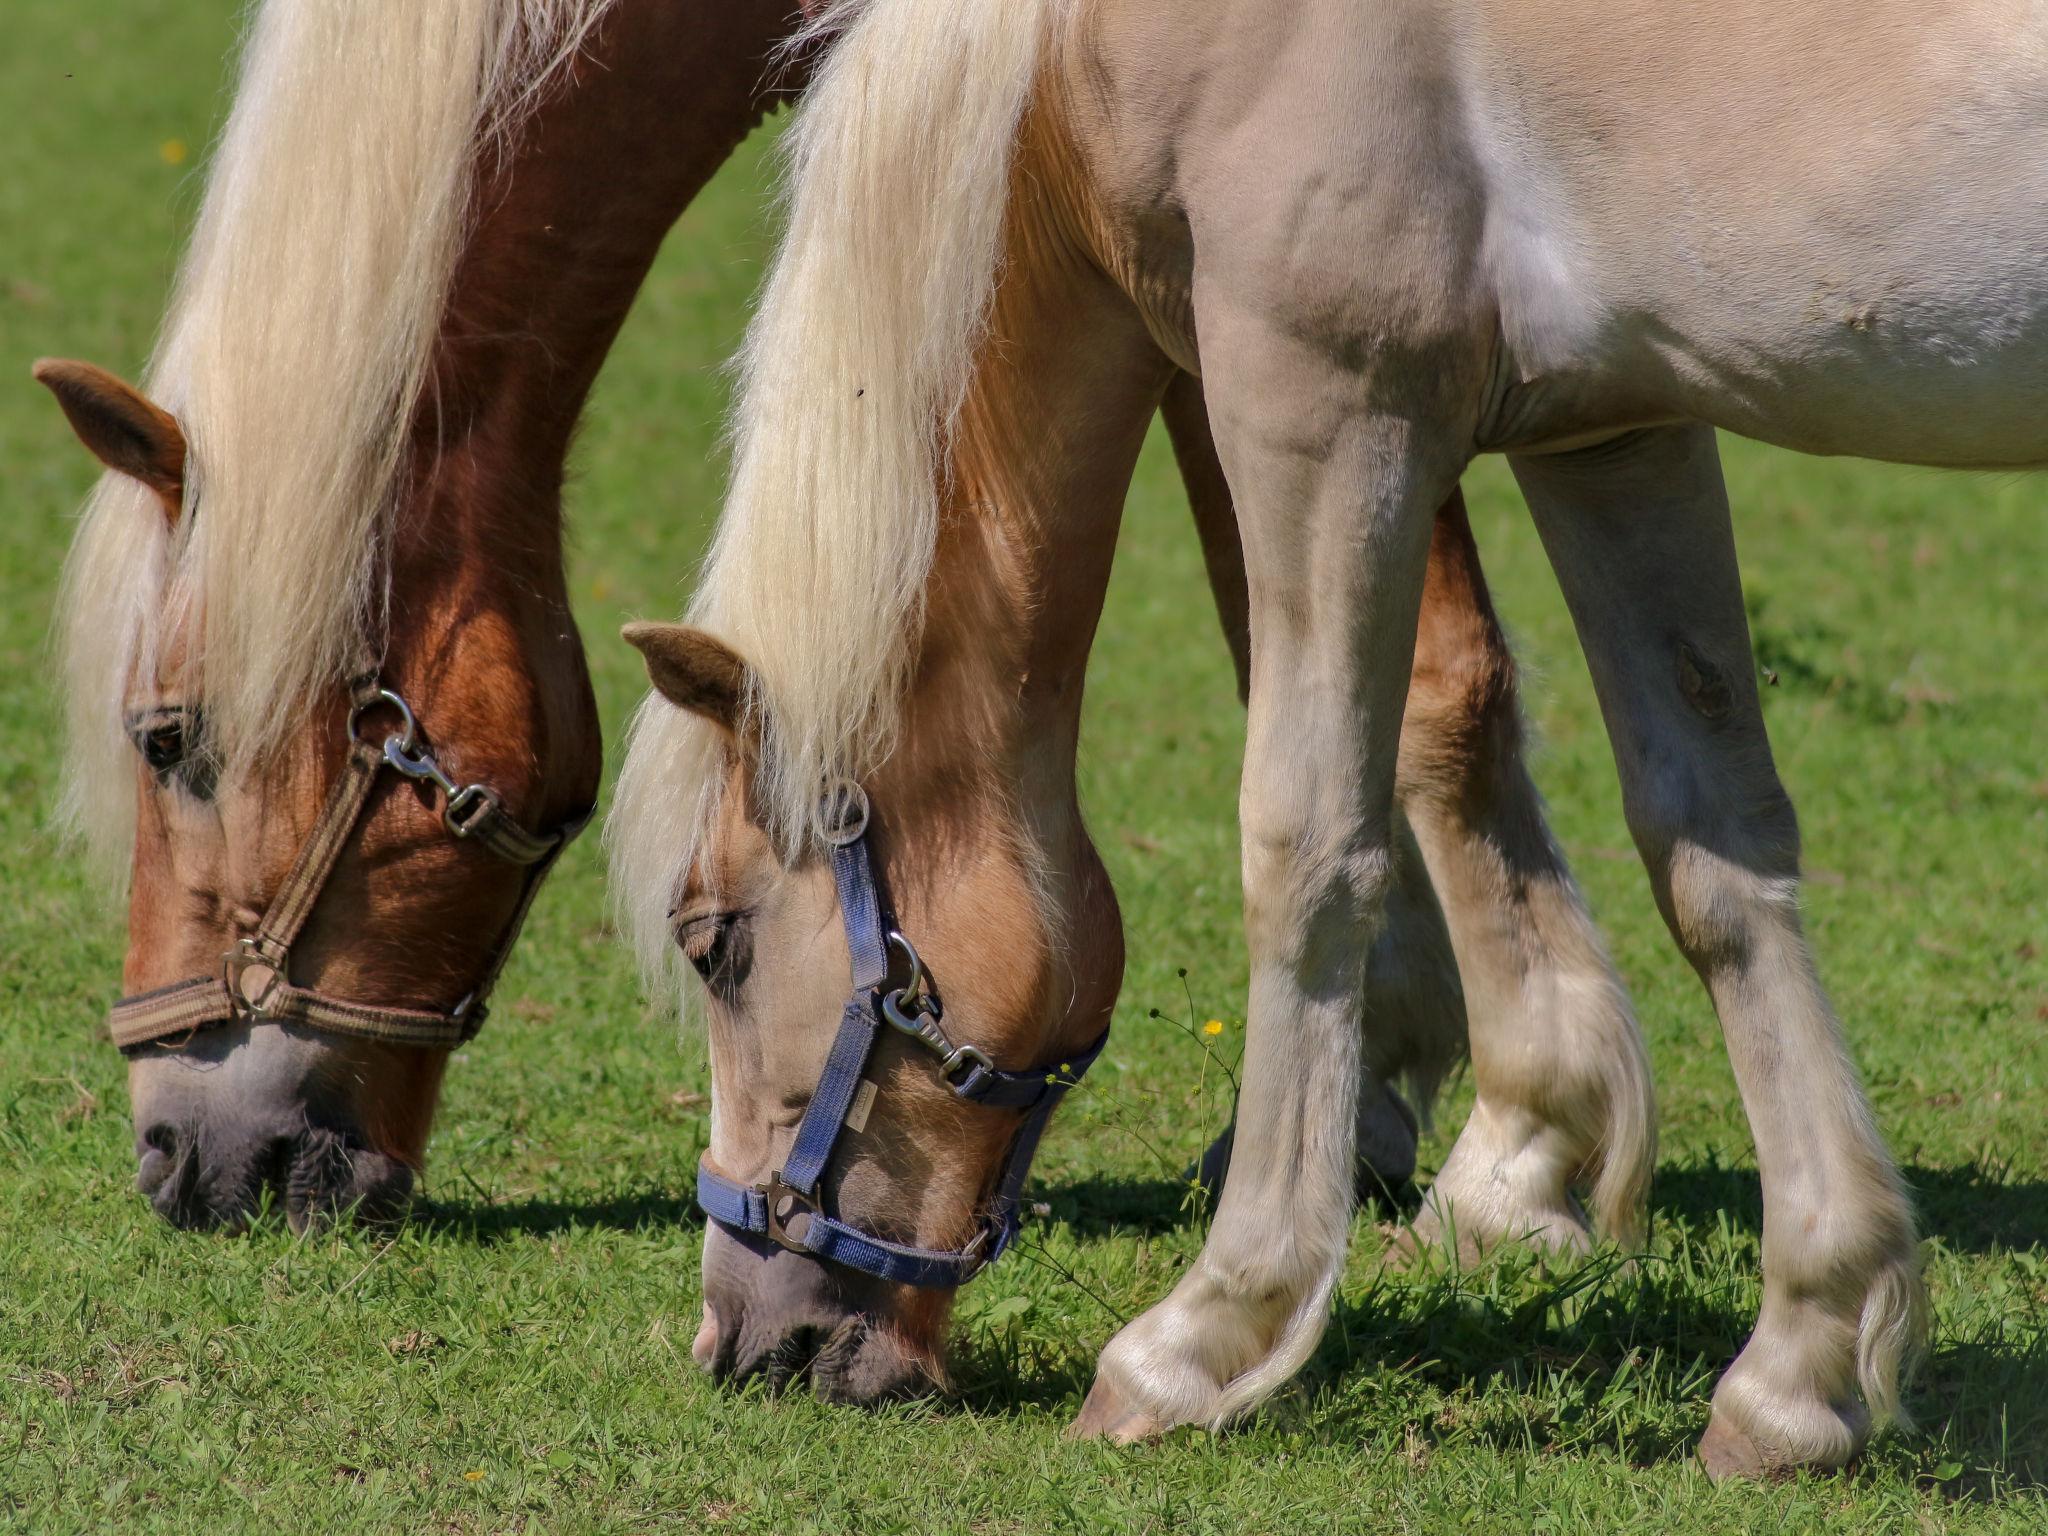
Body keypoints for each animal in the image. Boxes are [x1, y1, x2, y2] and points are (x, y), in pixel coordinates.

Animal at [610, 0, 1966, 1490]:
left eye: (712, 942)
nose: (742, 1345)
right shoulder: (1623, 419)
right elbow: (1713, 847)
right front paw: (1804, 1360)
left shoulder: (1322, 399)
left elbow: (1303, 848)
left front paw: (1208, 1331)